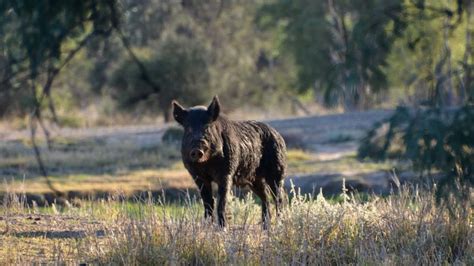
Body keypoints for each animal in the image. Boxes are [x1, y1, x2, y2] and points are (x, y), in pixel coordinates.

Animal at [172, 96, 286, 229]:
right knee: (265, 197)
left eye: (207, 127)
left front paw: (223, 228)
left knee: (278, 197)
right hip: (254, 179)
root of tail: (278, 134)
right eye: (188, 128)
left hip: (277, 170)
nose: (196, 150)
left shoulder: (226, 173)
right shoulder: (198, 176)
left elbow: (221, 201)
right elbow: (208, 202)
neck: (206, 164)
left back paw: (279, 224)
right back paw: (265, 227)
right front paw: (206, 226)